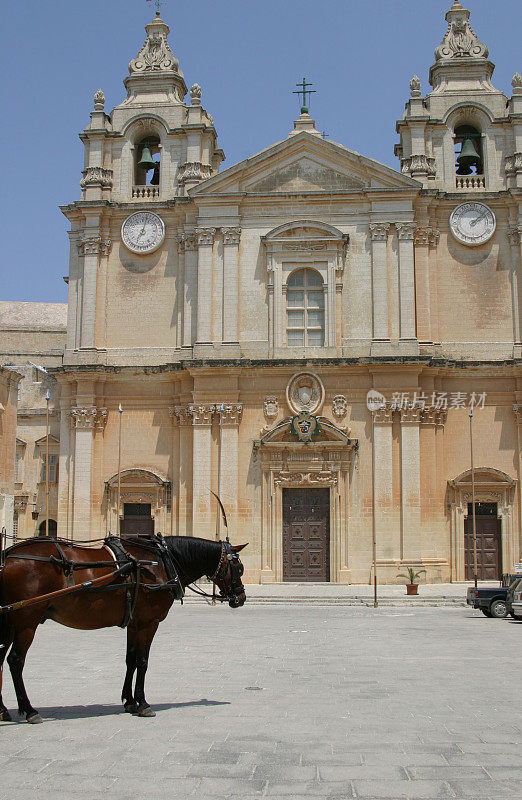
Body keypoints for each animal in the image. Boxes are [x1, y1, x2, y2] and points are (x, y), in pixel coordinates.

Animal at [0, 536, 246, 724]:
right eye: (238, 568)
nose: (241, 598)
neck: (163, 561)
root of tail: (8, 555)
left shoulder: (134, 623)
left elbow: (130, 660)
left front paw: (129, 702)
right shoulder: (149, 622)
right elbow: (143, 662)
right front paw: (144, 704)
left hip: (10, 621)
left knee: (1, 659)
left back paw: (3, 710)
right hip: (27, 620)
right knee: (15, 660)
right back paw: (30, 711)